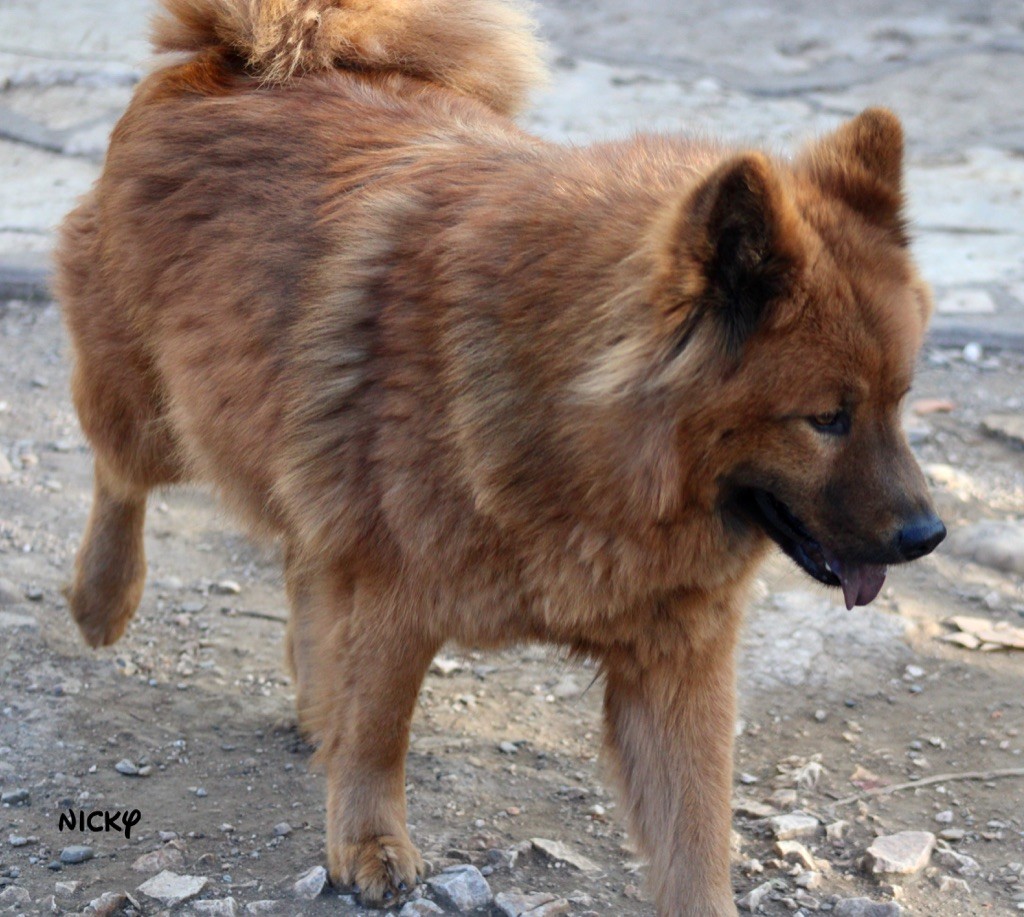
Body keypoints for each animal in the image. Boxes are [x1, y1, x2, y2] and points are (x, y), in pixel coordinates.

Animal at [58, 3, 942, 912]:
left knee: (303, 559)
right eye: (825, 418)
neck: (580, 433)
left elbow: (696, 828)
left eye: (899, 399)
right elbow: (377, 730)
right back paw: (102, 598)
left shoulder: (675, 658)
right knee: (120, 478)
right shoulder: (395, 594)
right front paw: (367, 840)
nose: (928, 535)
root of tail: (230, 57)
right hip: (157, 408)